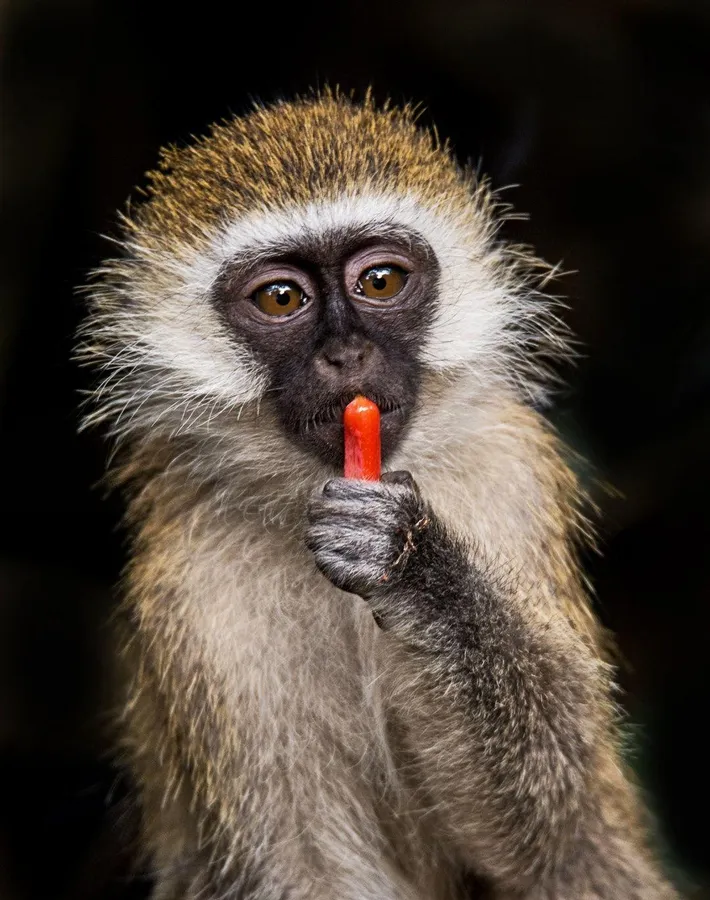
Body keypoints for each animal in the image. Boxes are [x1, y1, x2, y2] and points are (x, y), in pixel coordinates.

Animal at [78, 91, 679, 899]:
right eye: (281, 298)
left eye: (381, 282)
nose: (347, 355)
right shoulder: (198, 591)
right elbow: (302, 864)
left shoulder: (507, 476)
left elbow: (561, 825)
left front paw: (414, 567)